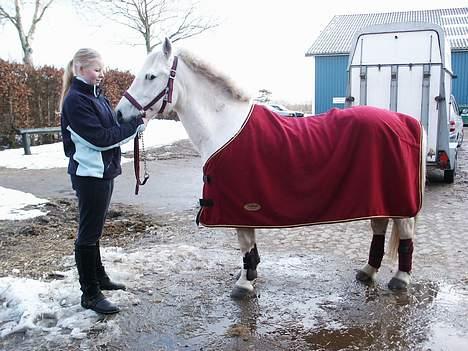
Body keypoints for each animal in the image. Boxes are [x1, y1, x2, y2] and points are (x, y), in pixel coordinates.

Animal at [115, 38, 426, 300]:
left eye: (150, 76)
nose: (119, 114)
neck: (224, 126)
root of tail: (406, 121)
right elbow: (249, 246)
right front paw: (250, 275)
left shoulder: (240, 205)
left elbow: (244, 243)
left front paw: (244, 284)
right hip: (378, 197)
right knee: (379, 226)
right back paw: (367, 271)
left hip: (398, 200)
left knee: (405, 232)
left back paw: (400, 278)